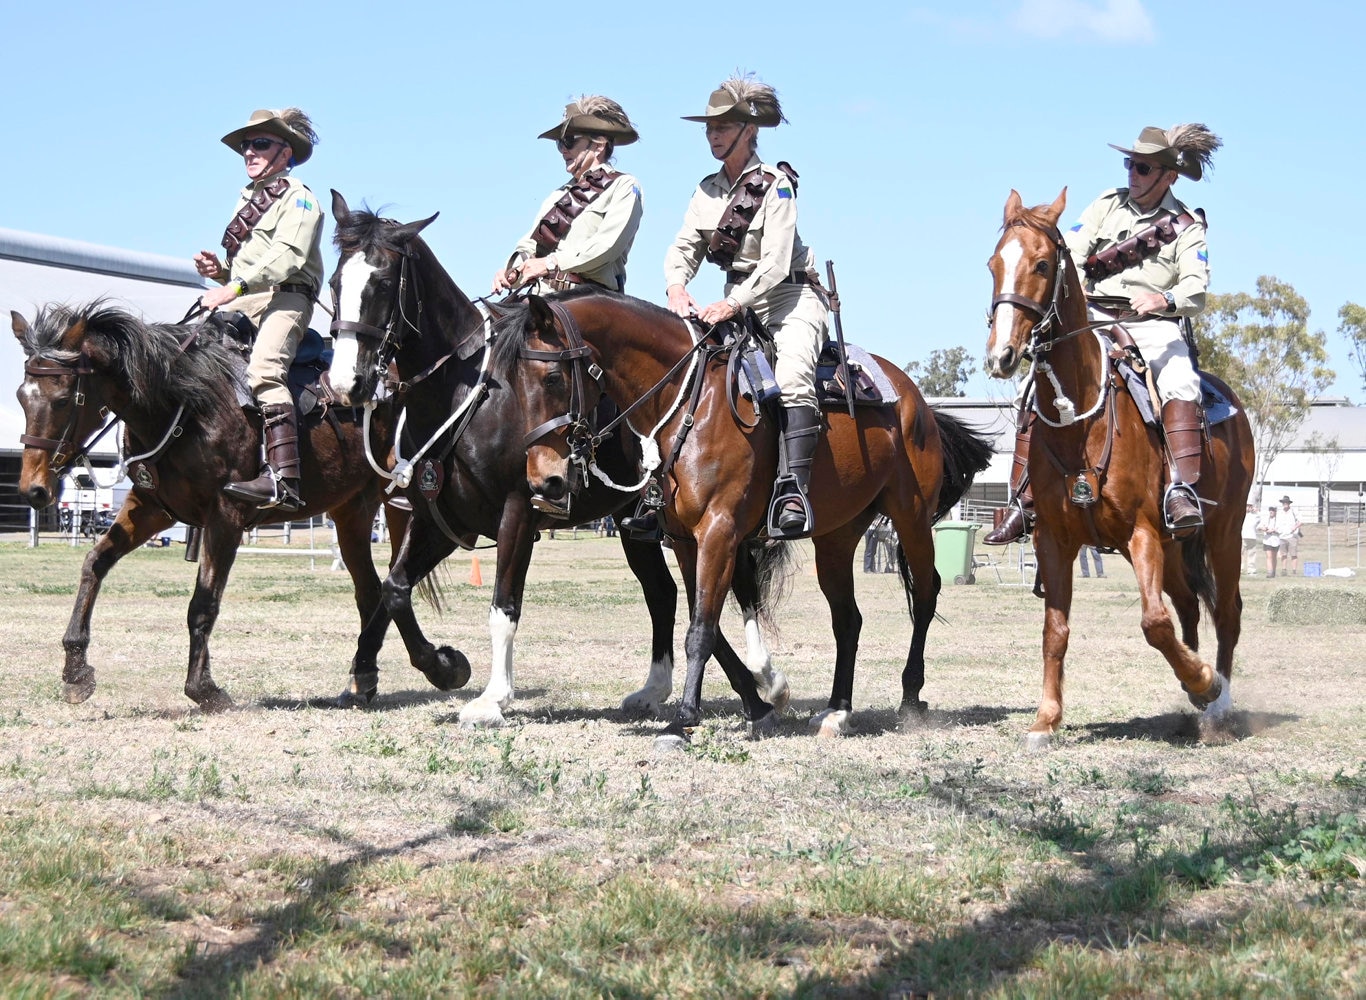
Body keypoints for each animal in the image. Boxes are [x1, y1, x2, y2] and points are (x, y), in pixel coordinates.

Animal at [12, 304, 458, 710]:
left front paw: (204, 689)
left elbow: (203, 603)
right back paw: (362, 680)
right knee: (370, 591)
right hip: (351, 511)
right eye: (21, 397)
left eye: (63, 399)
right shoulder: (150, 507)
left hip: (399, 505)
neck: (184, 405)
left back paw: (436, 667)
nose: (33, 489)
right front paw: (75, 670)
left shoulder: (224, 516)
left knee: (396, 580)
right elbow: (95, 564)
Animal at [323, 193, 786, 726]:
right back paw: (686, 689)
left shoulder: (517, 514)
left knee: (733, 585)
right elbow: (394, 589)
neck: (464, 394)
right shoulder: (439, 518)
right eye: (335, 283)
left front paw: (492, 697)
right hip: (638, 524)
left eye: (381, 283)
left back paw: (766, 679)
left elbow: (503, 606)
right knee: (666, 593)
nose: (347, 384)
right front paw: (441, 666)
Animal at [502, 286, 994, 743]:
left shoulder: (719, 532)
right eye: (508, 384)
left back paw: (910, 696)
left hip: (911, 518)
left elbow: (701, 630)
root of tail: (916, 399)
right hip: (835, 538)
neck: (689, 402)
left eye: (551, 377)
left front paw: (684, 719)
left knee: (926, 594)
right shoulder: (685, 542)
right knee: (847, 619)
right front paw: (757, 702)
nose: (545, 481)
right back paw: (837, 711)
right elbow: (708, 623)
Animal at [983, 191, 1256, 748]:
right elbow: (1056, 630)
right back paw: (1194, 694)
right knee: (1189, 607)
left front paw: (1205, 682)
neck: (1079, 422)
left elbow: (1154, 624)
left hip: (1223, 532)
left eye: (1042, 265)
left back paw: (1217, 702)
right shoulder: (1054, 540)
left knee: (1226, 613)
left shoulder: (1143, 532)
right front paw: (1045, 719)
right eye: (993, 264)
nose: (1002, 354)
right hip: (1176, 550)